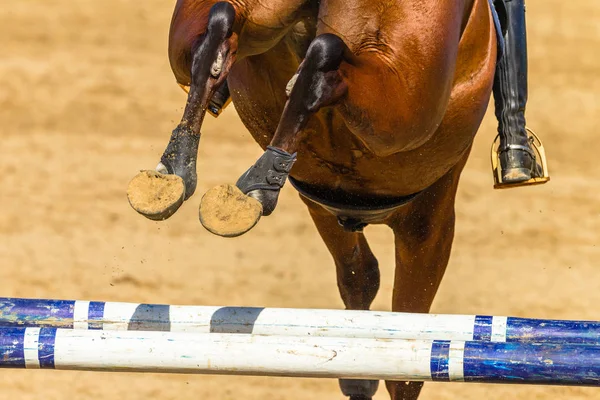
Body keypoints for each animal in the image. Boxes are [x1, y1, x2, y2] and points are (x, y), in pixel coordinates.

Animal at [136, 1, 502, 398]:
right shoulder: (426, 229)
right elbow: (401, 356)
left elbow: (360, 279)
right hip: (407, 103)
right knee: (321, 59)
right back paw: (251, 180)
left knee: (223, 26)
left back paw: (187, 174)